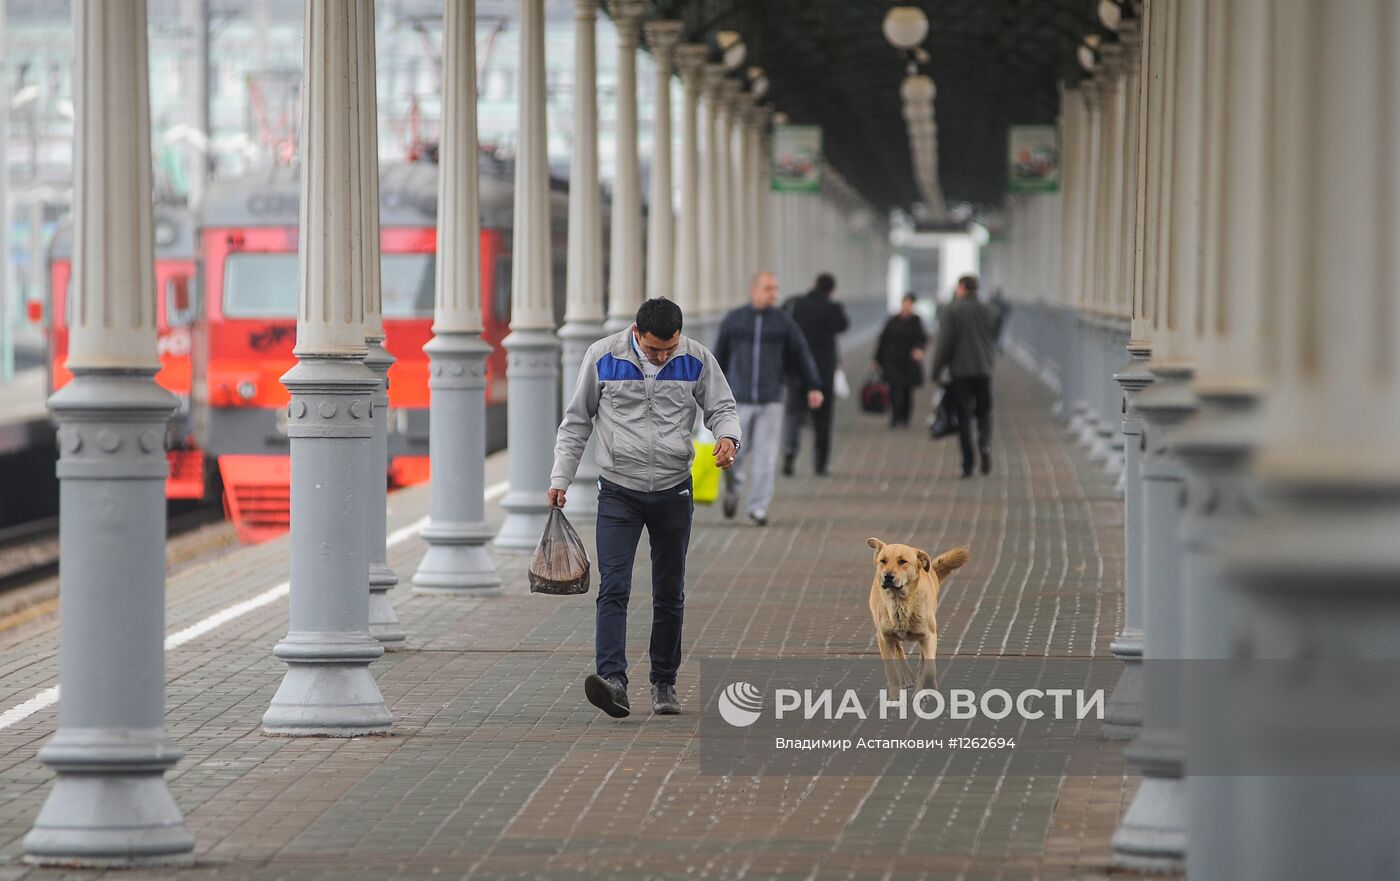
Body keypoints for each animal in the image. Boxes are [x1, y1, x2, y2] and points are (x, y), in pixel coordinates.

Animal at [862, 540, 974, 691]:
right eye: (883, 560)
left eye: (902, 561)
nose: (888, 576)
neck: (901, 602)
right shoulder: (884, 638)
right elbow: (892, 674)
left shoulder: (928, 637)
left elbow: (928, 671)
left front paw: (924, 689)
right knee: (899, 649)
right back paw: (907, 676)